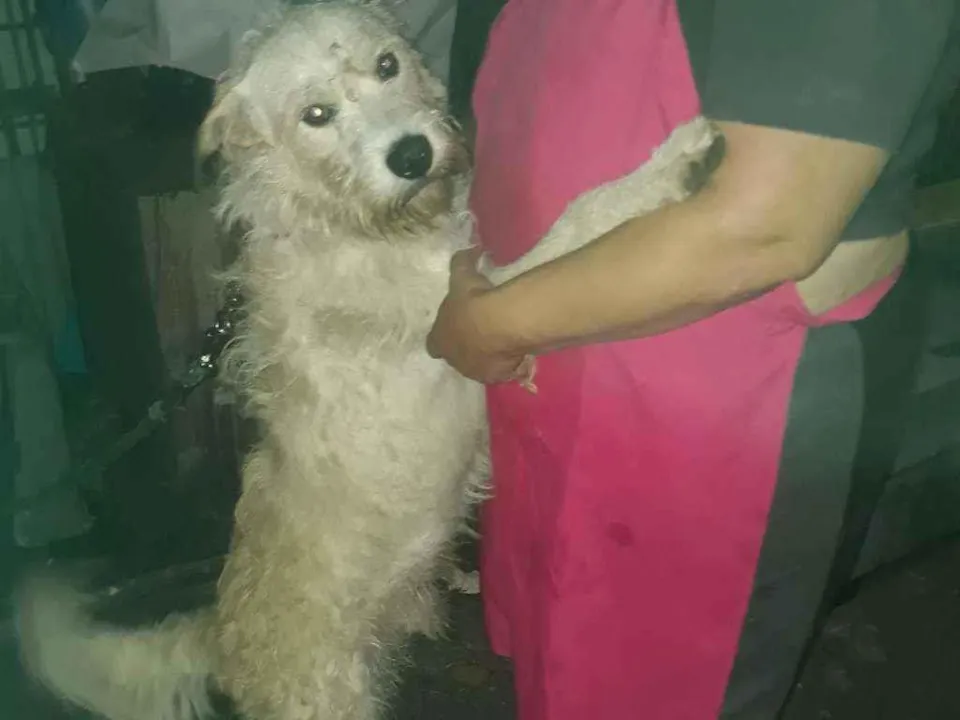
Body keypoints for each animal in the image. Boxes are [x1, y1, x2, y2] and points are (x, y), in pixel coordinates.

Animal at [15, 2, 720, 719]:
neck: (352, 221)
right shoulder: (482, 302)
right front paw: (671, 164)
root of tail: (219, 635)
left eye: (388, 64)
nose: (413, 155)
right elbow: (583, 216)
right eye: (315, 114)